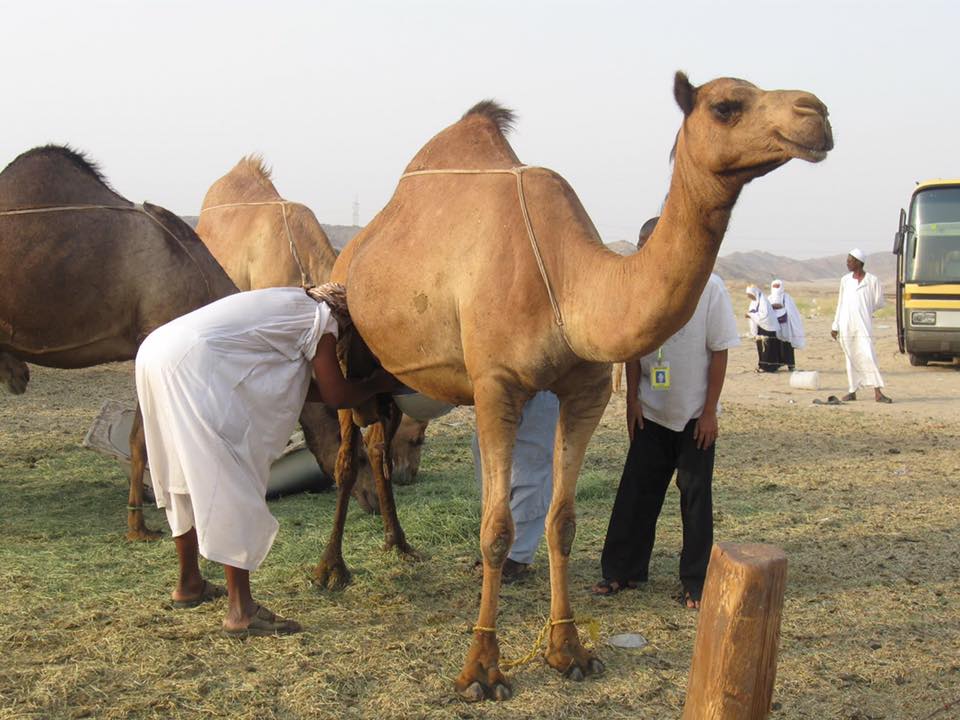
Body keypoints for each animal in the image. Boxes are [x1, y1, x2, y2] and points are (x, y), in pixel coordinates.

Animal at [336, 71, 832, 696]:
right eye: (725, 105)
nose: (816, 113)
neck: (571, 282)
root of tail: (351, 252)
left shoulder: (588, 390)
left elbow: (563, 522)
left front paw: (568, 649)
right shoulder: (496, 386)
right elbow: (495, 528)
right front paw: (482, 668)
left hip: (388, 379)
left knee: (380, 445)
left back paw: (398, 544)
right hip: (343, 350)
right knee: (346, 454)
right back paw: (333, 571)